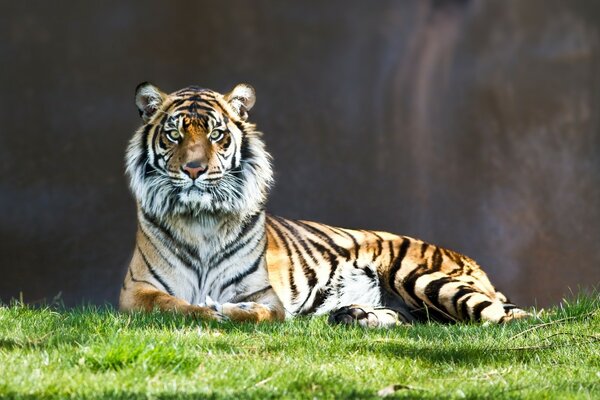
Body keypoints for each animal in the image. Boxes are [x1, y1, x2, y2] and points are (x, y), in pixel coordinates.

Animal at [118, 82, 528, 328]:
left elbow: (258, 313)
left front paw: (227, 311)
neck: (201, 220)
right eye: (174, 134)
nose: (193, 169)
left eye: (217, 134)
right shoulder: (136, 293)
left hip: (425, 278)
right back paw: (355, 315)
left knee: (509, 318)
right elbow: (176, 306)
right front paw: (208, 310)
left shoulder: (265, 295)